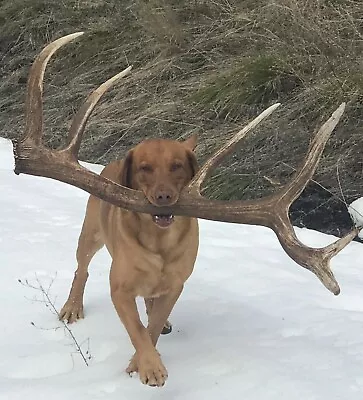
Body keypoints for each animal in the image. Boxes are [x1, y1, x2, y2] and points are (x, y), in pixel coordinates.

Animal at [59, 135, 199, 388]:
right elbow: (138, 330)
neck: (159, 241)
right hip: (91, 235)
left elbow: (153, 326)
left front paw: (139, 362)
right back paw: (73, 306)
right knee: (82, 270)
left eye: (177, 166)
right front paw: (150, 367)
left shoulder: (175, 286)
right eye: (144, 168)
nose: (164, 197)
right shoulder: (120, 290)